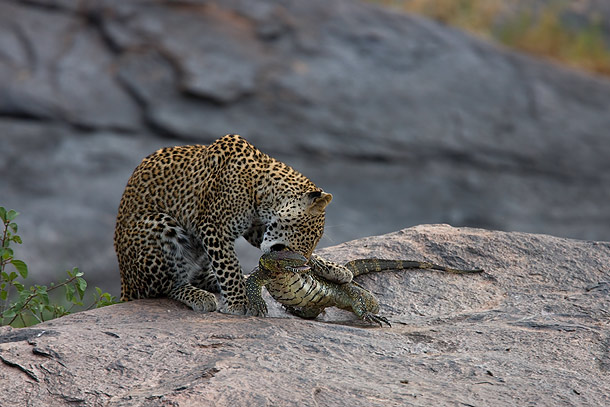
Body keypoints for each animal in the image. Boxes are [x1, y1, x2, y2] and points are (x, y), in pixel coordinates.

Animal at [114, 134, 352, 316]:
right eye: (306, 235)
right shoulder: (214, 228)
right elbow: (228, 266)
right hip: (159, 226)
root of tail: (126, 283)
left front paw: (335, 269)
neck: (260, 188)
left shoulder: (256, 228)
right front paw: (239, 303)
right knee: (165, 287)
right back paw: (199, 296)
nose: (302, 267)